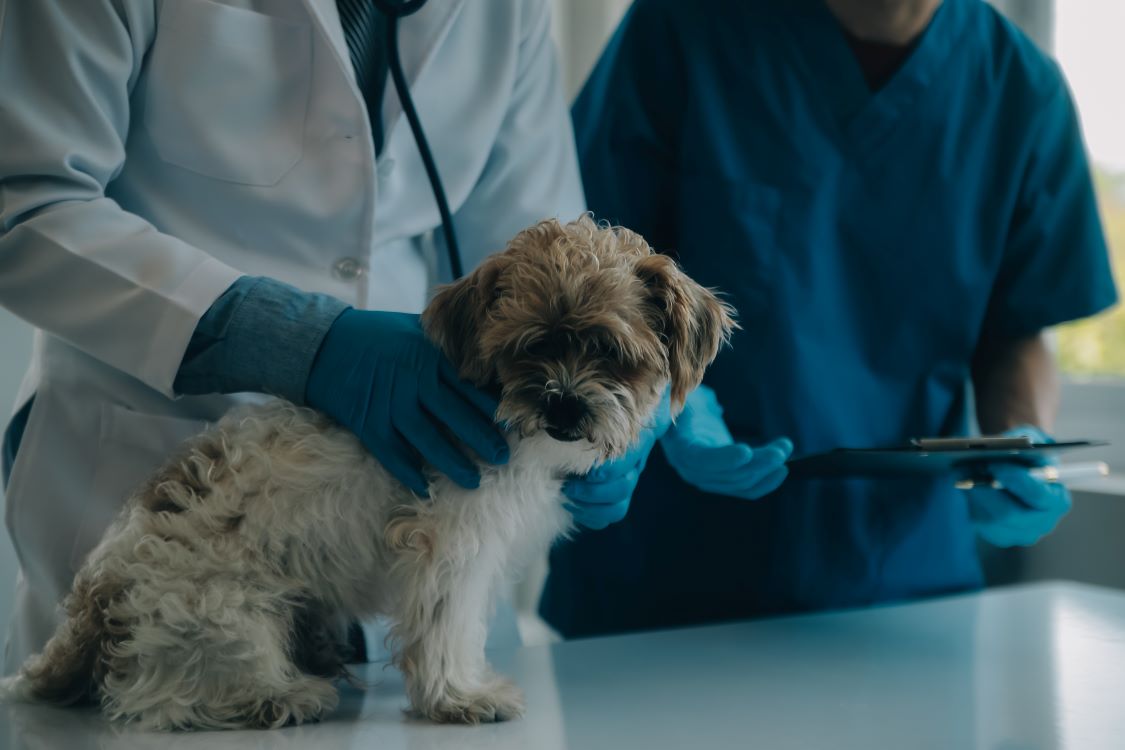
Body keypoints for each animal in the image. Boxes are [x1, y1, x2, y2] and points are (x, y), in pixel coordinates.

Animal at [0, 213, 738, 728]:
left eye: (611, 352)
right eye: (529, 348)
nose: (561, 405)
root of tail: (99, 595)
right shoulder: (450, 544)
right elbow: (445, 626)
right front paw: (458, 695)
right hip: (225, 615)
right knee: (164, 697)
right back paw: (280, 695)